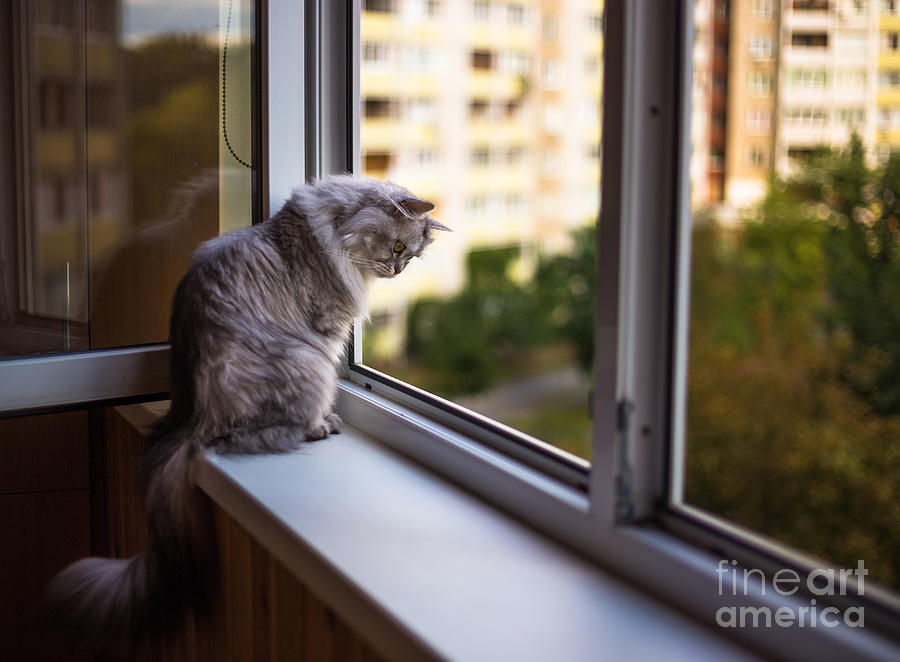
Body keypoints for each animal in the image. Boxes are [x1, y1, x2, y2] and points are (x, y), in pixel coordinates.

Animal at [47, 174, 448, 652]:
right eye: (398, 248)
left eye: (413, 256)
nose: (401, 270)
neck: (332, 226)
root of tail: (194, 421)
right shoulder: (328, 331)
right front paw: (326, 419)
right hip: (309, 363)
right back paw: (320, 428)